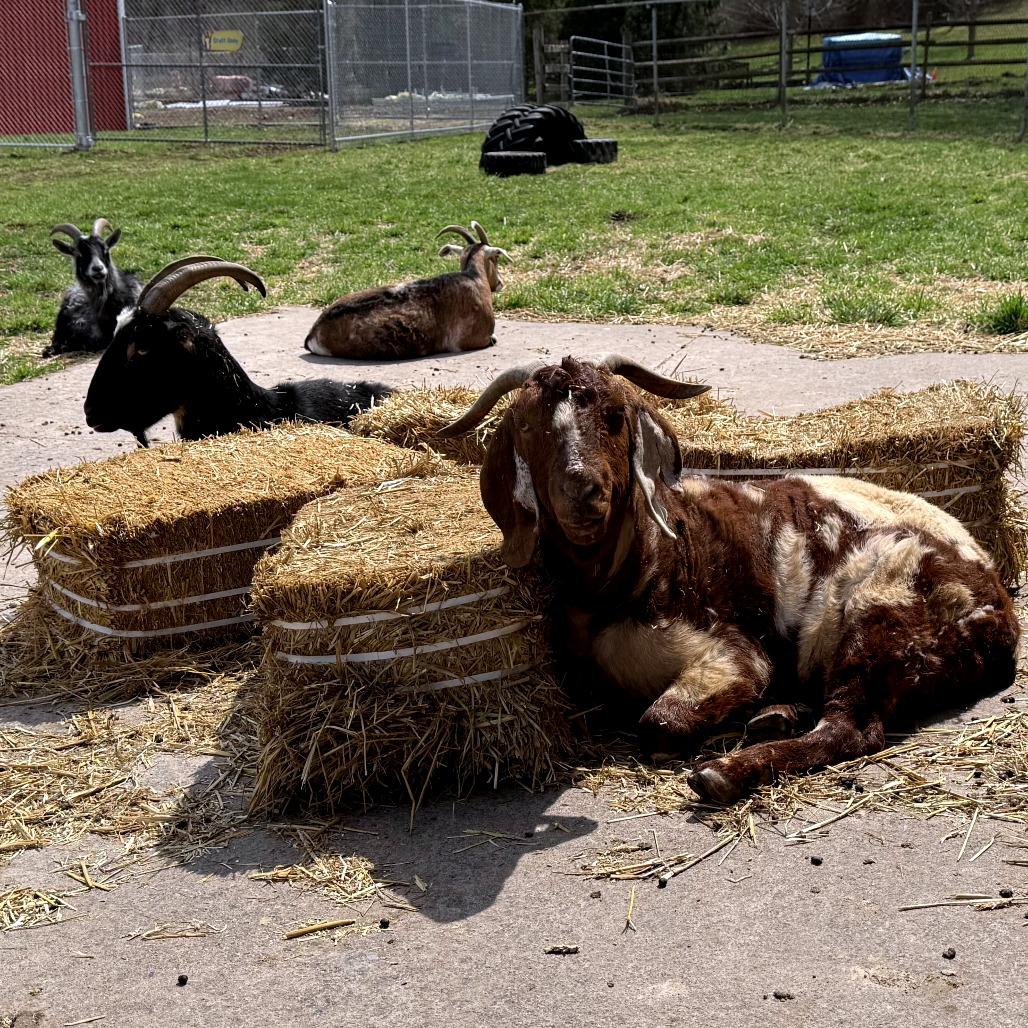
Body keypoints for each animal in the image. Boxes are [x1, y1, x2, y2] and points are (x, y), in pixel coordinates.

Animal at [439, 356, 1019, 804]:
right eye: (529, 428)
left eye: (614, 416)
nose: (582, 492)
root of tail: (997, 606)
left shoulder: (731, 648)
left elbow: (658, 721)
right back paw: (776, 716)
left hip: (881, 612)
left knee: (851, 727)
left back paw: (728, 769)